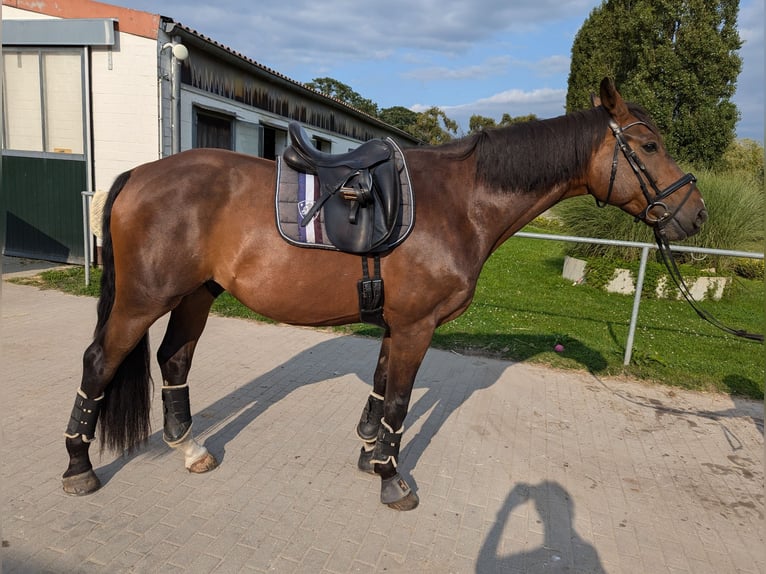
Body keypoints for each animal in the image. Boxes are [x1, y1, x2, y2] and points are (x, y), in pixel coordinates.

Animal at [61, 79, 708, 510]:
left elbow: (379, 394)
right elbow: (398, 402)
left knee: (174, 361)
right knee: (98, 364)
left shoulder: (397, 324)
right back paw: (78, 467)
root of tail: (138, 175)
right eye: (649, 147)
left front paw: (370, 456)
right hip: (143, 300)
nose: (696, 215)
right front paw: (393, 480)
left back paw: (189, 449)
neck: (460, 203)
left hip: (197, 294)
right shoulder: (417, 325)